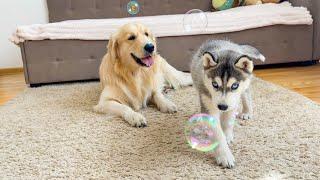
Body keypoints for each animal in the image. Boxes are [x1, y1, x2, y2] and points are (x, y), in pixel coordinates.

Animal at [191, 40, 264, 168]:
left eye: (235, 85)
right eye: (214, 84)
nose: (222, 106)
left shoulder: (232, 103)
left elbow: (229, 122)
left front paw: (227, 136)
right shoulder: (208, 103)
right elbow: (218, 134)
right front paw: (224, 155)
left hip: (244, 88)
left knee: (246, 94)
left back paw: (247, 111)